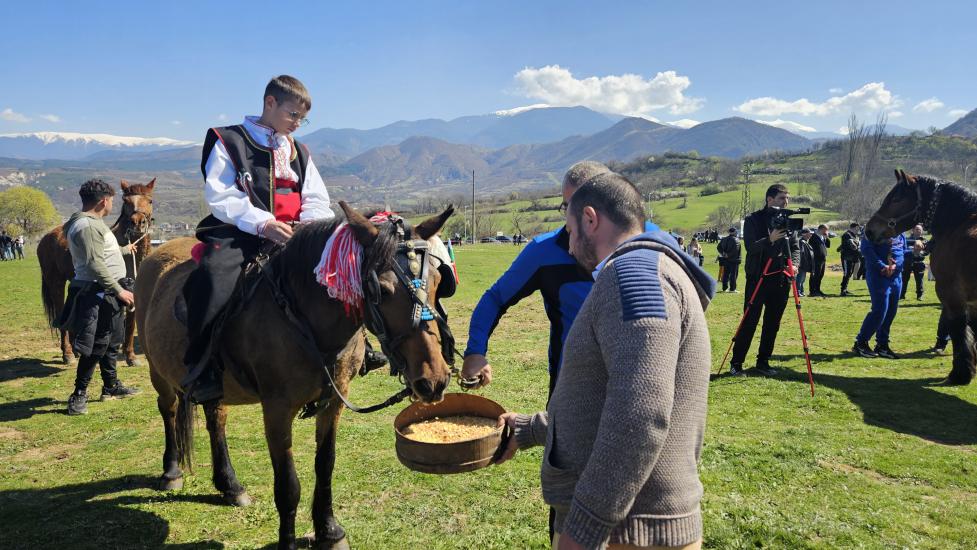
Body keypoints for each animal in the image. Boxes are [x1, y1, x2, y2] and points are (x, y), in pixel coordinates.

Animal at [36, 178, 155, 366]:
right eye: (126, 201)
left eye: (149, 201)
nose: (137, 223)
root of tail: (46, 238)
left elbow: (131, 323)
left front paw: (130, 356)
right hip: (56, 283)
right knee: (61, 314)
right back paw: (67, 354)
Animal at [135, 204, 456, 550]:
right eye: (381, 290)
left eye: (439, 281)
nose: (434, 379)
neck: (303, 318)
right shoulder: (277, 409)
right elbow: (288, 485)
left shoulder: (334, 401)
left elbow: (325, 464)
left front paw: (329, 530)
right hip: (157, 371)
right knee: (168, 410)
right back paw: (171, 471)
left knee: (215, 418)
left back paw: (230, 484)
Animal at [860, 170, 976, 386]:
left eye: (896, 198)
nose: (869, 230)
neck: (959, 223)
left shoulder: (952, 296)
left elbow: (959, 331)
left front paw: (960, 374)